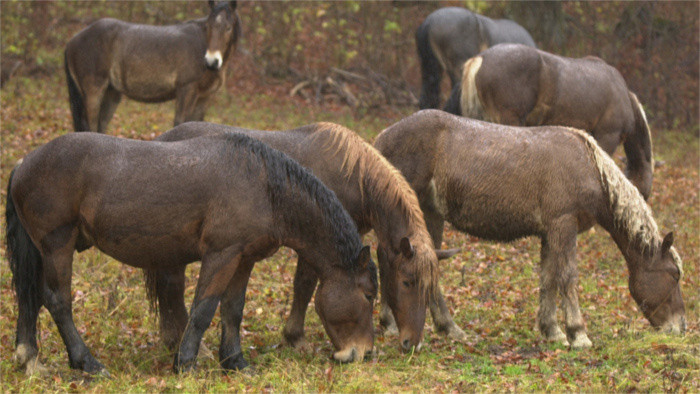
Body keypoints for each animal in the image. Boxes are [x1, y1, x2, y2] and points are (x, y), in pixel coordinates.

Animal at [5, 132, 378, 376]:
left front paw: (235, 362)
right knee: (58, 301)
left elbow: (233, 309)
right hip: (57, 246)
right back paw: (87, 363)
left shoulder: (243, 259)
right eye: (369, 294)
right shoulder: (221, 254)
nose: (363, 353)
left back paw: (30, 359)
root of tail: (24, 162)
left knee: (30, 296)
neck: (264, 186)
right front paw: (185, 363)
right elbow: (203, 308)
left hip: (42, 251)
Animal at [65, 0, 241, 134]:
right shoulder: (186, 90)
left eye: (228, 27)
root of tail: (73, 40)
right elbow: (180, 122)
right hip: (94, 91)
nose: (211, 61)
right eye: (209, 27)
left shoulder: (204, 97)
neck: (202, 43)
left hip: (111, 93)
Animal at [374, 110, 688, 348]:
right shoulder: (563, 225)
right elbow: (567, 276)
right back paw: (394, 323)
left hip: (431, 214)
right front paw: (578, 334)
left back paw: (447, 327)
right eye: (674, 275)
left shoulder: (550, 233)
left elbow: (548, 277)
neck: (587, 167)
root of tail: (381, 138)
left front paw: (553, 330)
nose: (681, 328)